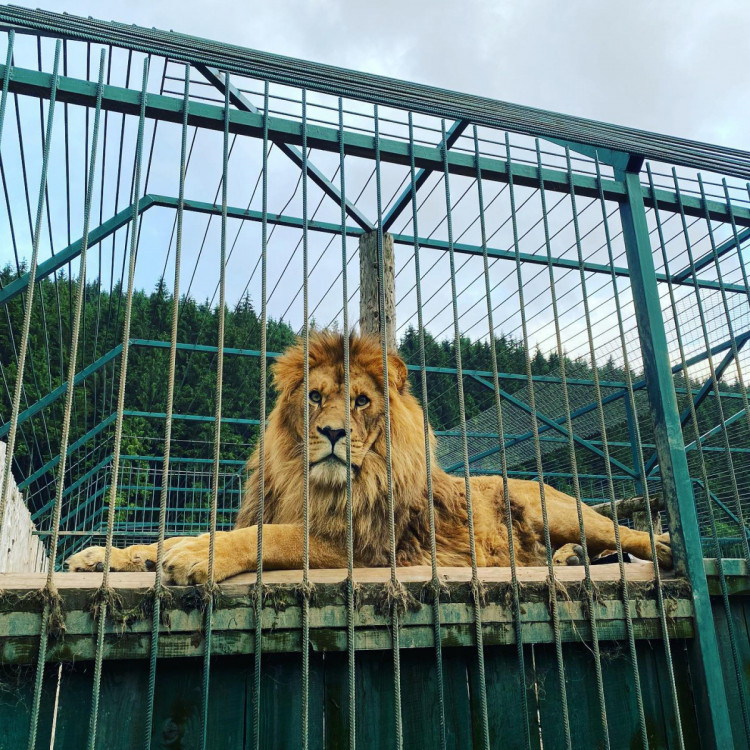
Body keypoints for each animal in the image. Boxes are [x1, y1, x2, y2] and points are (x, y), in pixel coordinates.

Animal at [67, 332, 672, 584]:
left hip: (559, 511)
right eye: (314, 397)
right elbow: (169, 536)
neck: (312, 482)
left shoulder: (364, 547)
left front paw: (197, 556)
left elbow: (269, 537)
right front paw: (104, 556)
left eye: (360, 401)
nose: (333, 432)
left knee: (629, 534)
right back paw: (570, 561)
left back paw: (658, 549)